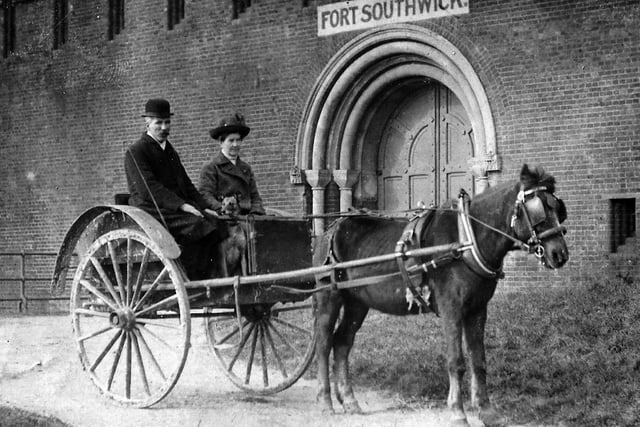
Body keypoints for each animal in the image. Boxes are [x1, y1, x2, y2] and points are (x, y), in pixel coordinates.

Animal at [312, 165, 568, 427]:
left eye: (558, 208)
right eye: (538, 210)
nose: (560, 254)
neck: (467, 239)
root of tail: (331, 229)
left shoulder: (477, 310)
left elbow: (479, 360)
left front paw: (486, 411)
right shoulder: (451, 308)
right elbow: (456, 361)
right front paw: (457, 412)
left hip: (357, 302)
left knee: (342, 342)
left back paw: (349, 400)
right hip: (329, 296)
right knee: (323, 343)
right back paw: (325, 401)